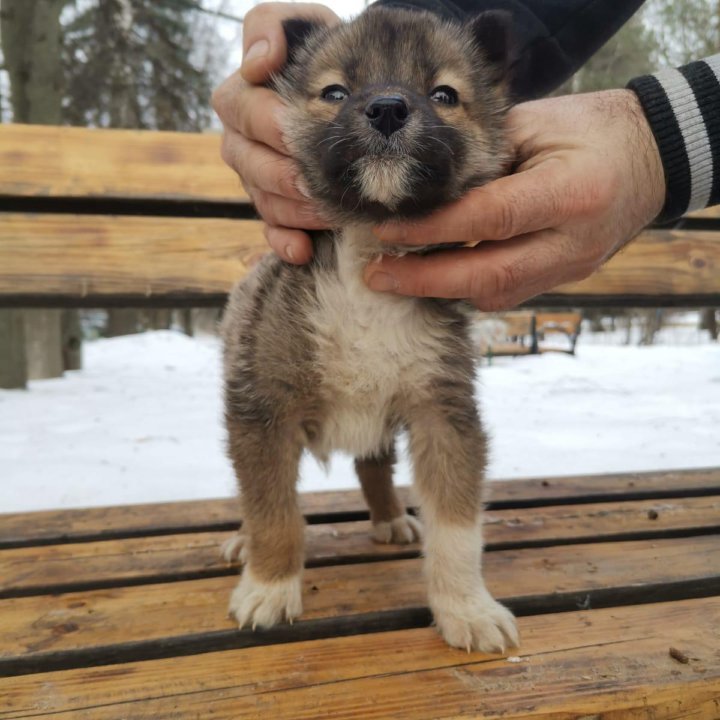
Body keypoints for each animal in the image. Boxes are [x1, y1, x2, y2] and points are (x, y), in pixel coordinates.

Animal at [219, 4, 516, 652]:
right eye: (334, 91)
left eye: (444, 94)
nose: (386, 108)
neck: (367, 259)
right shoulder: (264, 411)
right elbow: (273, 512)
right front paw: (270, 587)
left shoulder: (444, 413)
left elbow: (457, 529)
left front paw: (467, 608)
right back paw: (242, 542)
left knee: (373, 465)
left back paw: (390, 518)